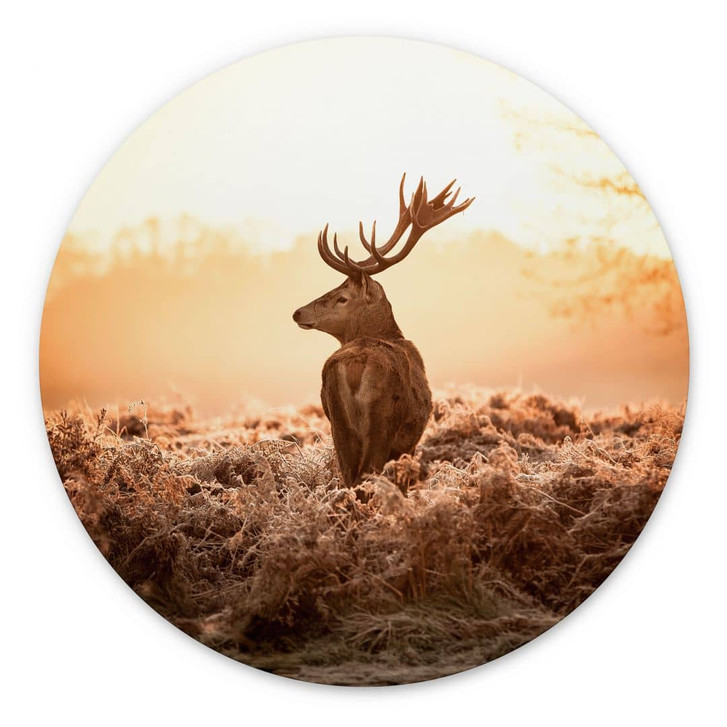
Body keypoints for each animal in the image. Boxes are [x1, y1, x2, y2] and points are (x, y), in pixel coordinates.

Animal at [293, 174, 474, 487]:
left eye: (342, 297)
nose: (298, 312)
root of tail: (355, 364)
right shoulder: (408, 443)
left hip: (338, 424)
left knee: (349, 476)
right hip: (383, 422)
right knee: (367, 475)